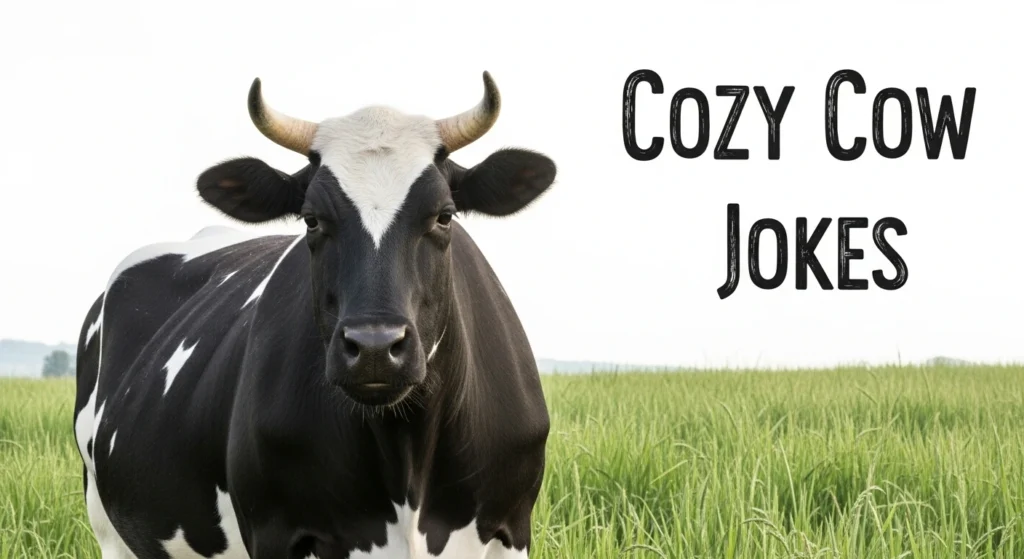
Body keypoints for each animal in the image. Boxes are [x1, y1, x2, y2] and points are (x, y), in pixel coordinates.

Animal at [72, 72, 555, 559]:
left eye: (444, 215)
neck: (406, 455)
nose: (375, 347)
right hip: (107, 525)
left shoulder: (513, 527)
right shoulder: (273, 531)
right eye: (310, 219)